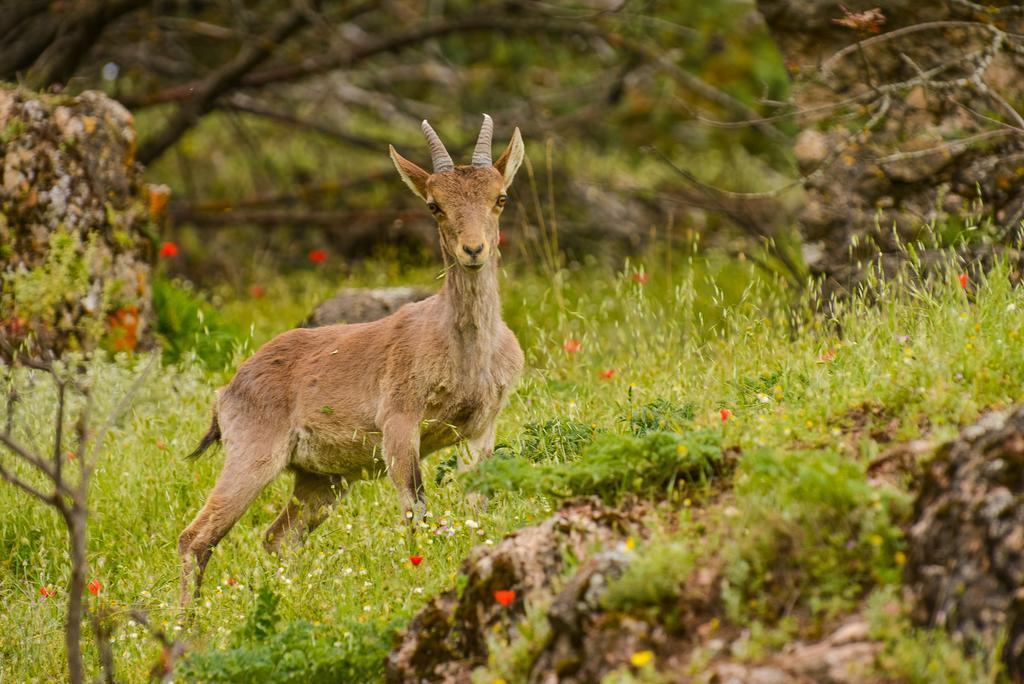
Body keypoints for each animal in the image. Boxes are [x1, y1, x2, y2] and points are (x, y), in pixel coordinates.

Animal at [177, 114, 524, 602]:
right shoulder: (399, 423)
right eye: (434, 205)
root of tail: (228, 390)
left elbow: (477, 504)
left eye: (500, 197)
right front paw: (418, 573)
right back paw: (185, 618)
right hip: (252, 459)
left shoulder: (479, 428)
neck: (463, 356)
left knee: (279, 536)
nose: (473, 250)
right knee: (196, 537)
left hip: (322, 479)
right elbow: (415, 507)